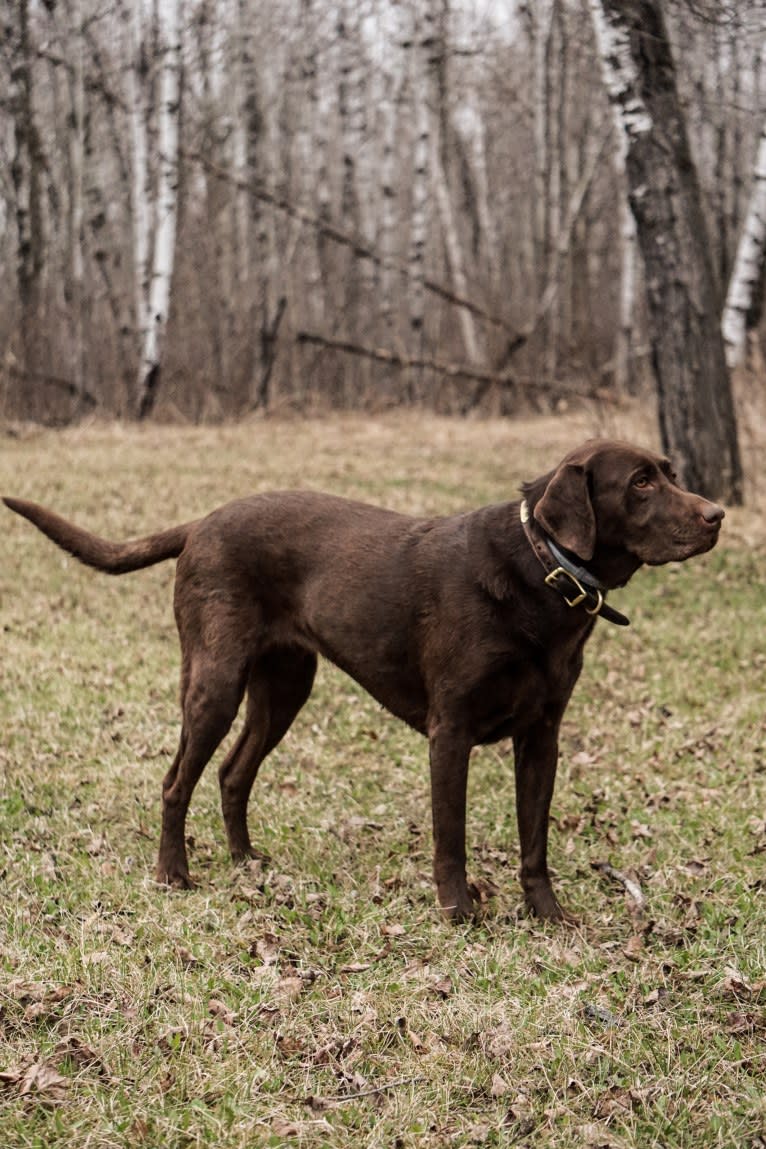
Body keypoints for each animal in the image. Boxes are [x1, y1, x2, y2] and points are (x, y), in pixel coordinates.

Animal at [2, 443, 721, 919]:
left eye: (671, 474)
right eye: (641, 483)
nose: (716, 515)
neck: (543, 571)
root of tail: (201, 522)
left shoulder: (542, 735)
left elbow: (535, 838)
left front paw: (547, 915)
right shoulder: (450, 731)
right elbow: (450, 835)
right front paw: (460, 914)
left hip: (285, 686)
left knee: (233, 772)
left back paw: (245, 860)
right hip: (215, 678)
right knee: (177, 778)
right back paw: (173, 873)